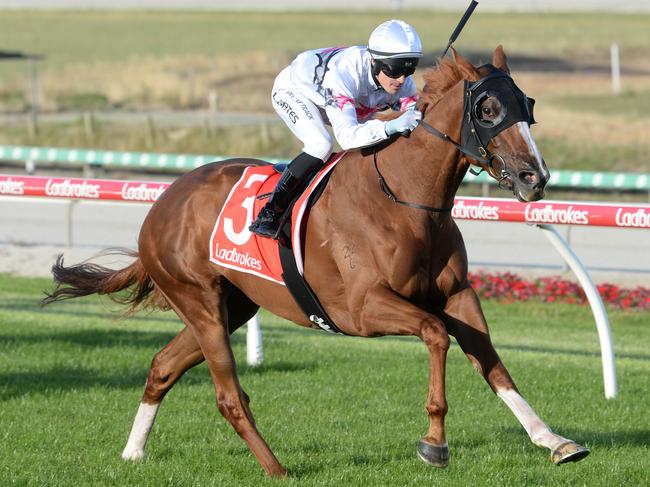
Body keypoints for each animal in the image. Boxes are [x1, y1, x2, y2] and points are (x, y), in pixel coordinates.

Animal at [40, 47, 588, 478]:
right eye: (488, 107)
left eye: (527, 105)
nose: (535, 177)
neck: (405, 198)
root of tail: (162, 202)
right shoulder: (363, 309)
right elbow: (435, 335)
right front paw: (434, 442)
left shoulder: (458, 294)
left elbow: (491, 361)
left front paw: (553, 439)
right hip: (198, 301)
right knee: (229, 396)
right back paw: (277, 469)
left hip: (231, 305)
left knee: (161, 366)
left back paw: (133, 452)